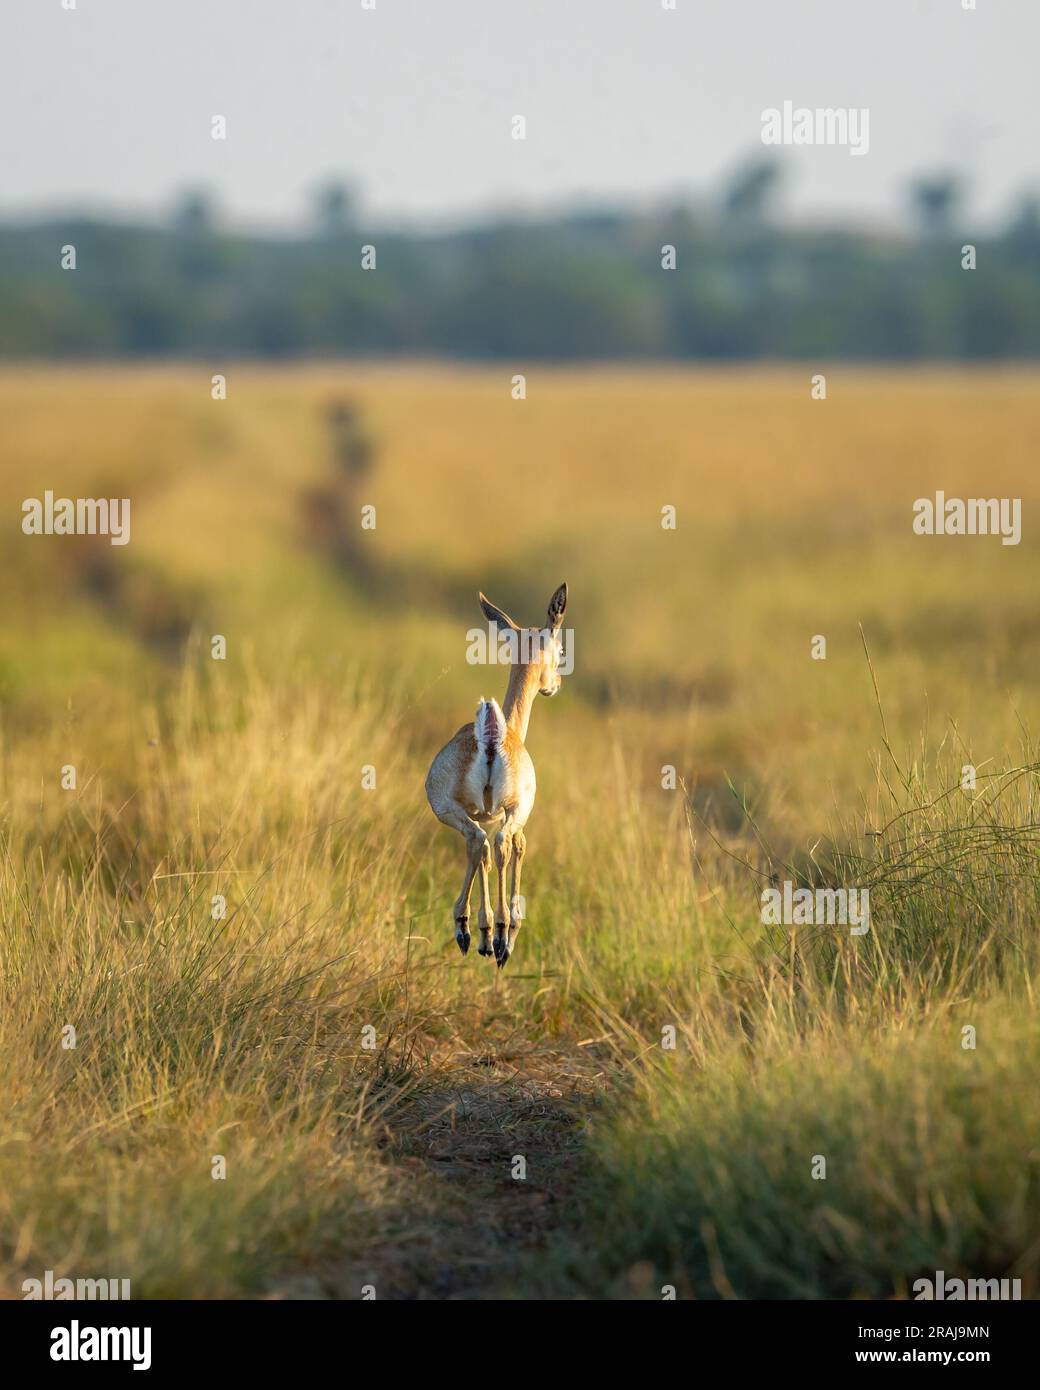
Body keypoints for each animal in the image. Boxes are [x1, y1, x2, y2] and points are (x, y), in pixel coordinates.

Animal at [425, 583, 568, 968]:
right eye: (561, 649)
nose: (555, 683)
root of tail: (491, 737)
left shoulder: (485, 814)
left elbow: (486, 857)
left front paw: (486, 934)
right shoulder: (510, 813)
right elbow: (518, 846)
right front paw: (505, 931)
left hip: (456, 811)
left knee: (480, 844)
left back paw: (477, 931)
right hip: (491, 810)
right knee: (499, 843)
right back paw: (493, 933)